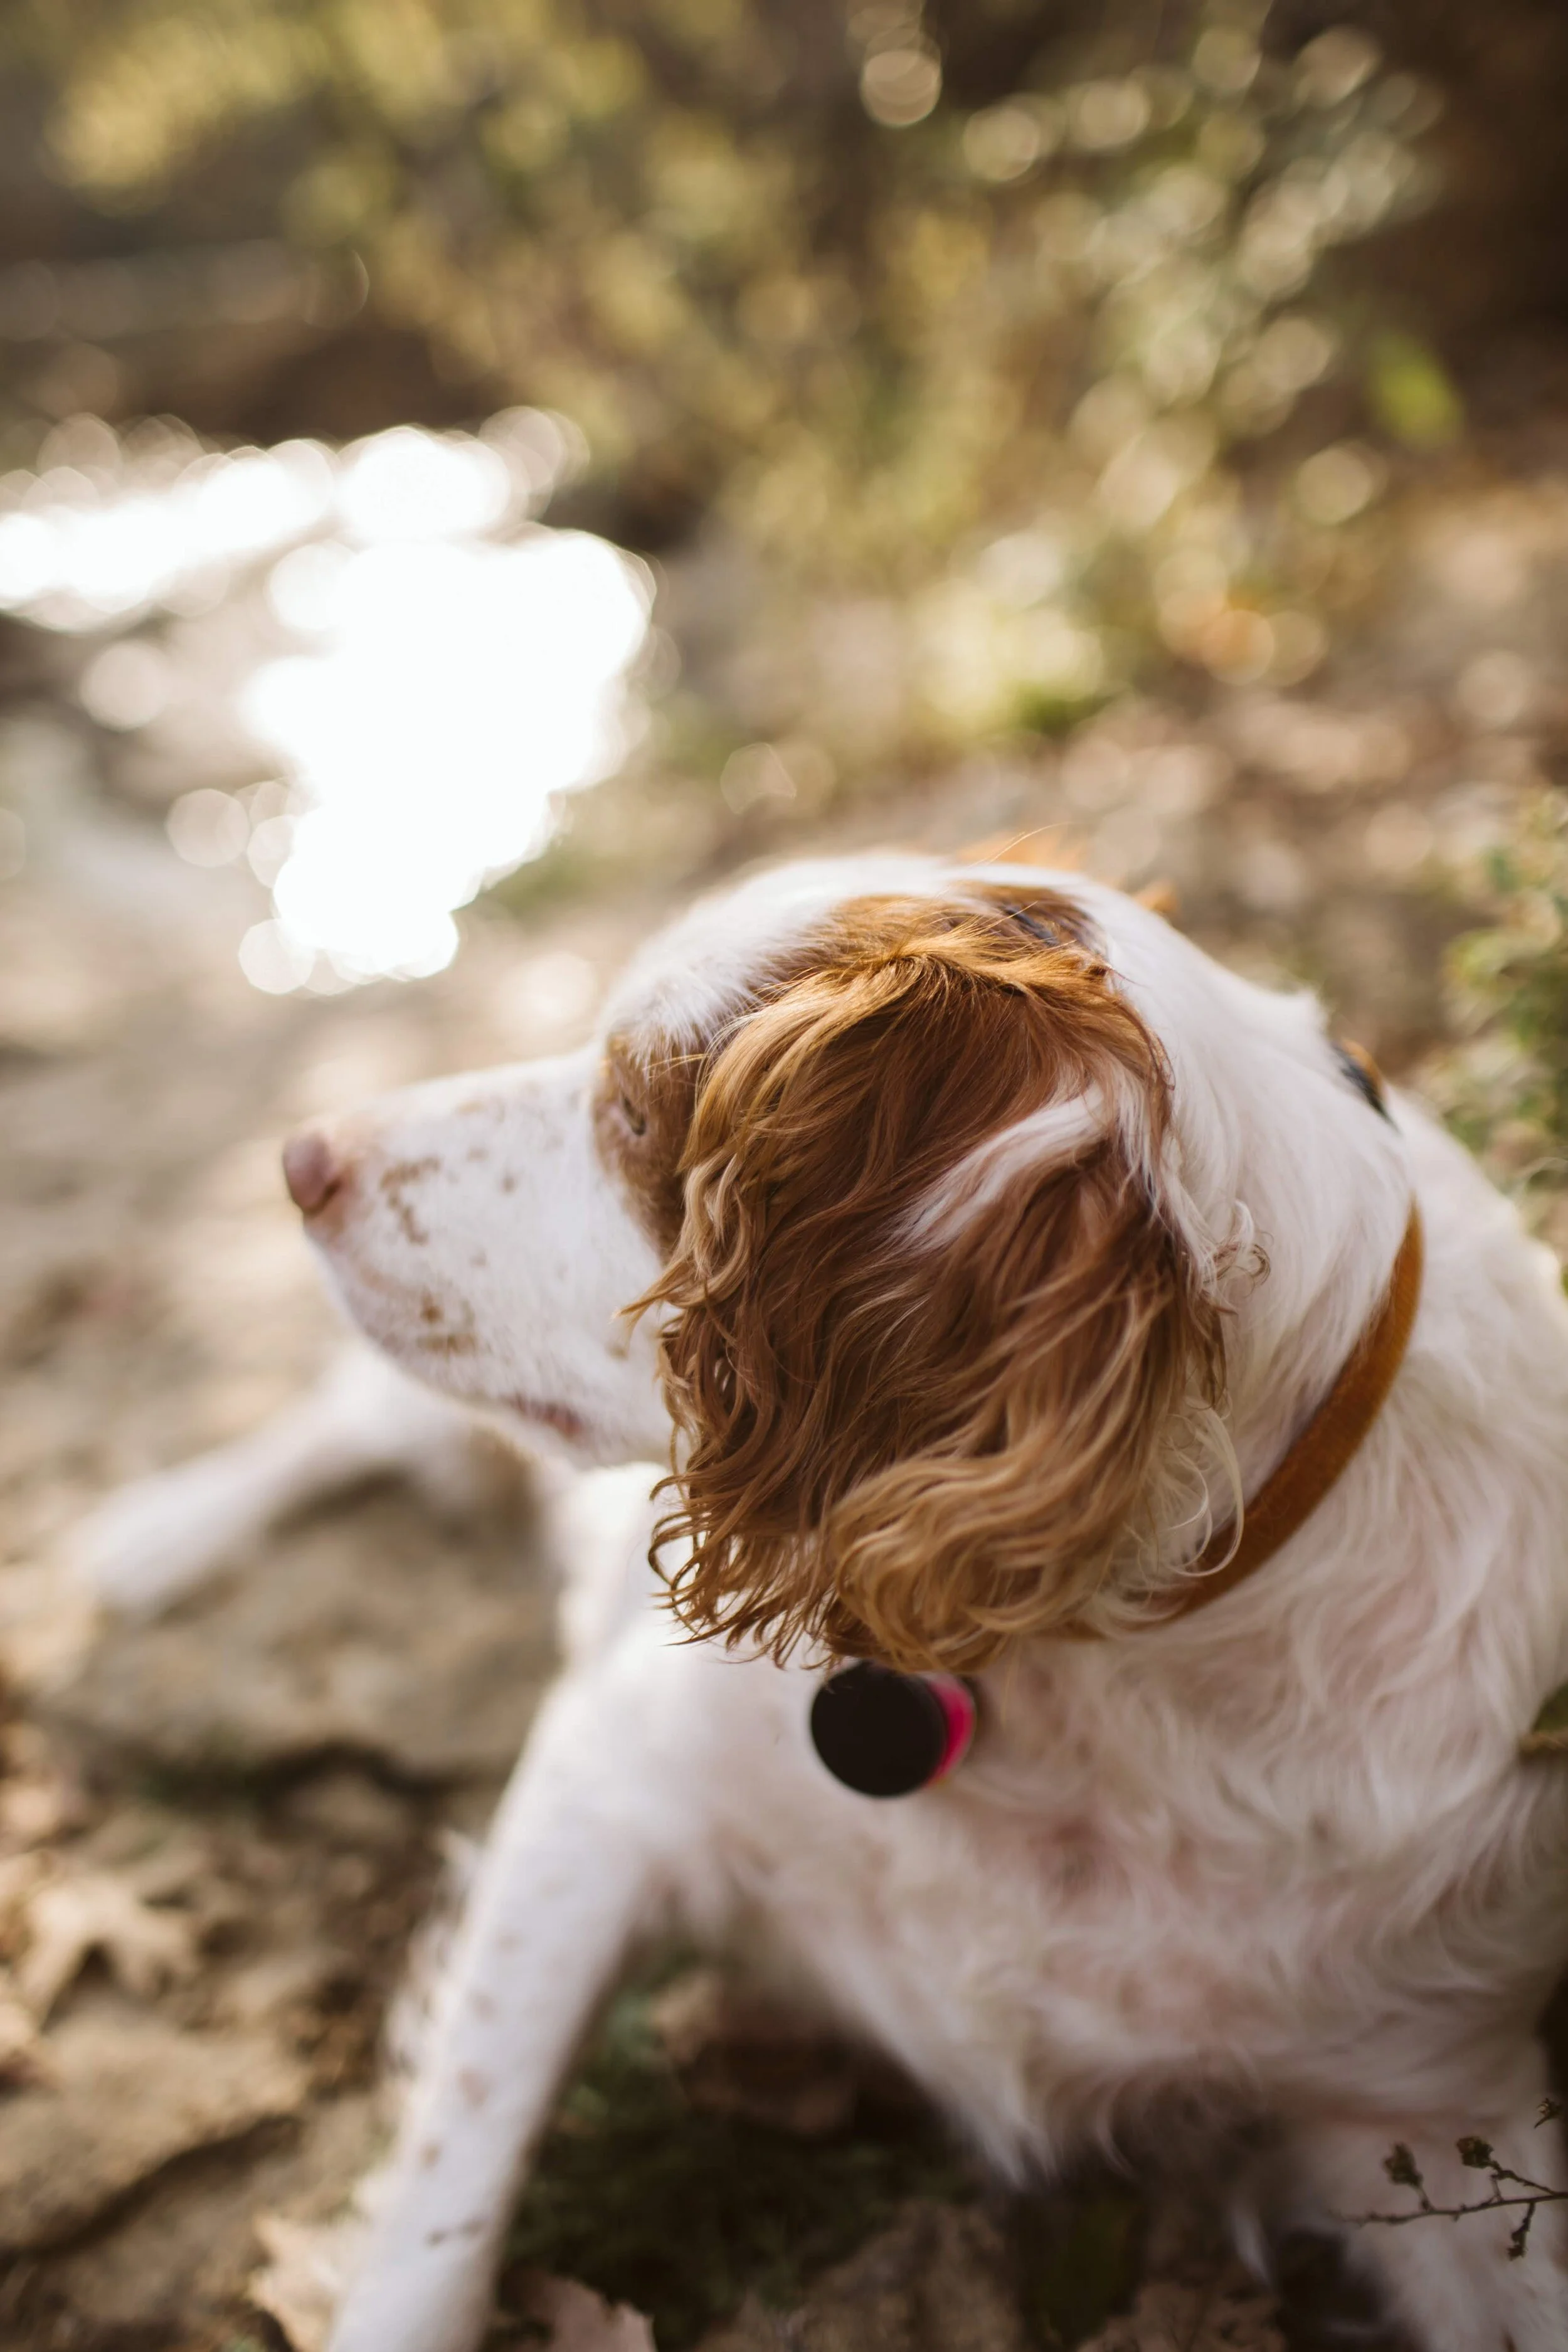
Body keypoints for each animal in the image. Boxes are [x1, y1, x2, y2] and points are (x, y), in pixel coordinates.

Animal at [80, 861, 1568, 2352]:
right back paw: (145, 1542)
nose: (305, 1158)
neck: (1084, 1665)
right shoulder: (601, 1798)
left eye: (634, 1114)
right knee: (345, 1427)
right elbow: (442, 2222)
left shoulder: (1426, 2093)